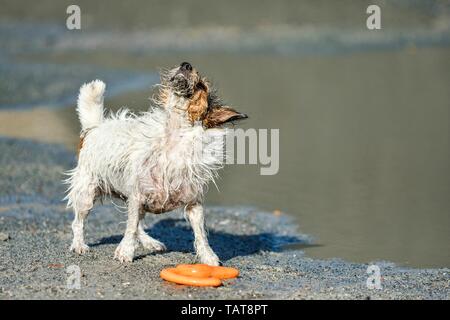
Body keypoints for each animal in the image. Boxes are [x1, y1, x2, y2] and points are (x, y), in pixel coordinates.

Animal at [64, 62, 246, 264]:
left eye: (201, 85)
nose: (186, 64)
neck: (174, 139)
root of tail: (95, 127)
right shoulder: (137, 196)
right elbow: (130, 227)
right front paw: (125, 251)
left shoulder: (193, 203)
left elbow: (200, 234)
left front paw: (208, 257)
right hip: (87, 193)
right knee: (78, 222)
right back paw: (79, 245)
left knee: (138, 225)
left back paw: (150, 242)